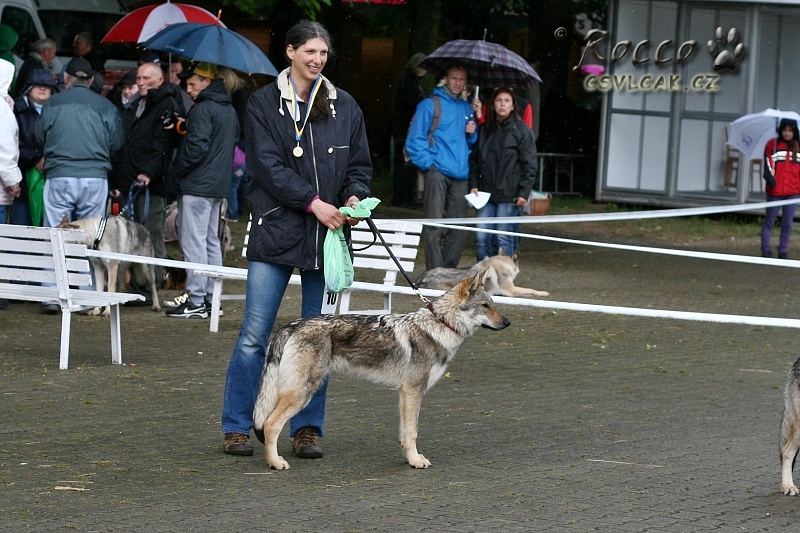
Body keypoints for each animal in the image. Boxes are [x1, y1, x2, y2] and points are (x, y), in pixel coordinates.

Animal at [253, 272, 510, 468]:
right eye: (485, 306)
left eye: (493, 304)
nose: (508, 323)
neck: (440, 325)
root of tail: (291, 326)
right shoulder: (413, 390)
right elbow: (413, 431)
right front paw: (417, 461)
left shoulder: (404, 393)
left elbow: (405, 433)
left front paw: (410, 458)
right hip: (302, 392)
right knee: (270, 425)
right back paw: (275, 463)